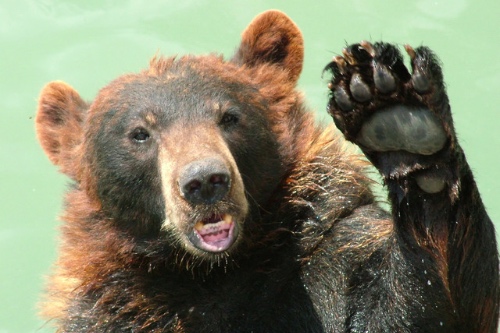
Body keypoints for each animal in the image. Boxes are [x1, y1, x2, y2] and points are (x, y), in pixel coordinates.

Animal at [35, 9, 496, 330]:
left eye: (229, 116)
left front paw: (393, 108)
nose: (205, 181)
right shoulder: (115, 309)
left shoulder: (324, 256)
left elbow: (412, 307)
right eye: (140, 133)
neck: (214, 273)